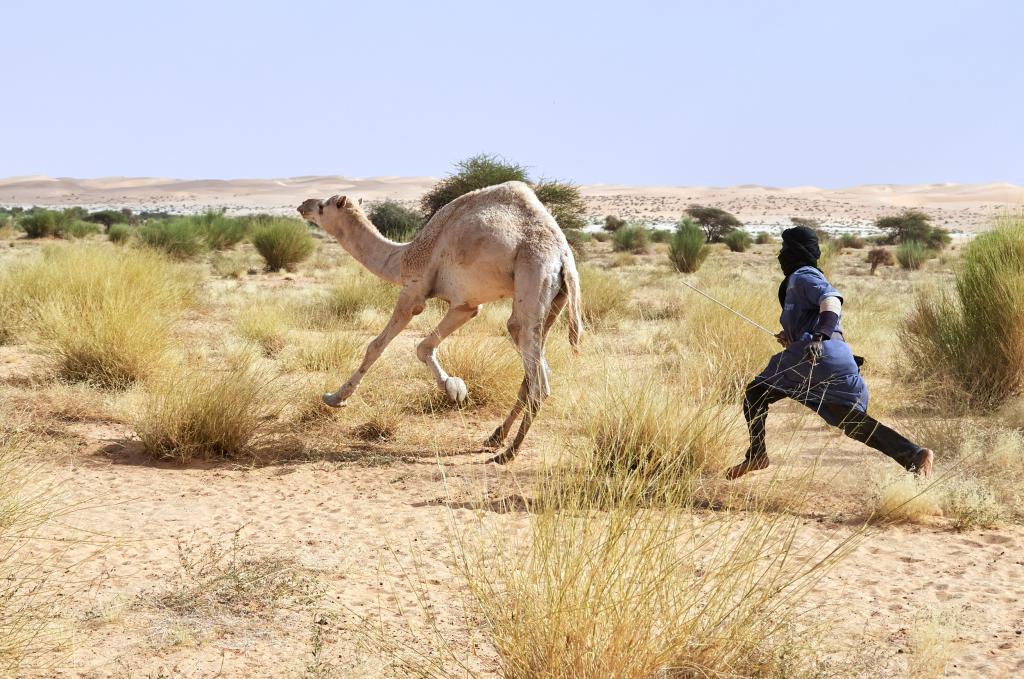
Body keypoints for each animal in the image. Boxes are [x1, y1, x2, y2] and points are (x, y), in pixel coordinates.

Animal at [296, 180, 585, 464]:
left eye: (323, 206)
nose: (303, 204)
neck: (403, 258)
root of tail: (564, 257)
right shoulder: (465, 305)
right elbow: (424, 346)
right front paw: (454, 388)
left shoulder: (413, 291)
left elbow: (376, 346)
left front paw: (335, 398)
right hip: (553, 303)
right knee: (533, 368)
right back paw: (495, 437)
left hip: (533, 273)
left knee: (539, 381)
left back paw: (508, 452)